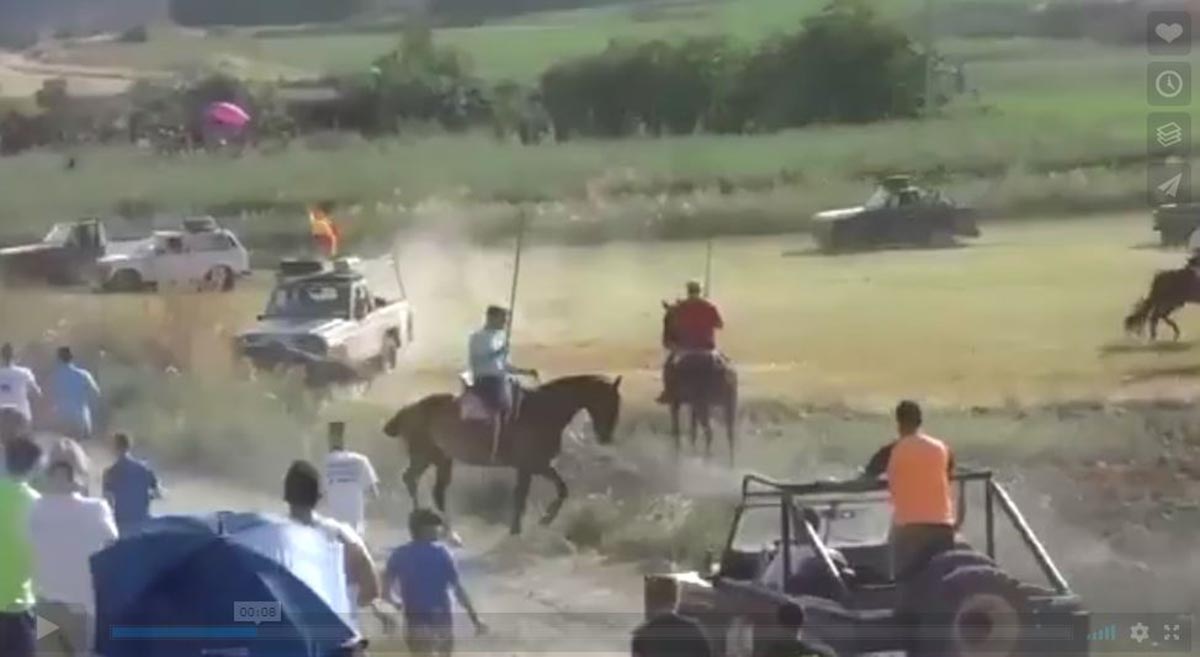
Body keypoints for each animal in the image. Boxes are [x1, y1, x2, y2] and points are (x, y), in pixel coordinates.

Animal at [384, 374, 624, 534]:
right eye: (609, 402)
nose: (606, 437)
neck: (544, 410)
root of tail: (408, 410)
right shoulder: (532, 465)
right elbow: (531, 495)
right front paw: (534, 523)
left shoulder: (534, 466)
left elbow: (556, 490)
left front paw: (534, 522)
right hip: (423, 455)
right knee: (412, 480)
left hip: (440, 458)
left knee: (432, 488)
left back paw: (445, 527)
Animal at [662, 302, 734, 462]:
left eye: (667, 319)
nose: (664, 341)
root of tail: (720, 366)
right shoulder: (692, 405)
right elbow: (693, 430)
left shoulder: (675, 403)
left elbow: (676, 431)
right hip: (728, 405)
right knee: (730, 436)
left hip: (703, 405)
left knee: (709, 433)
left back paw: (707, 459)